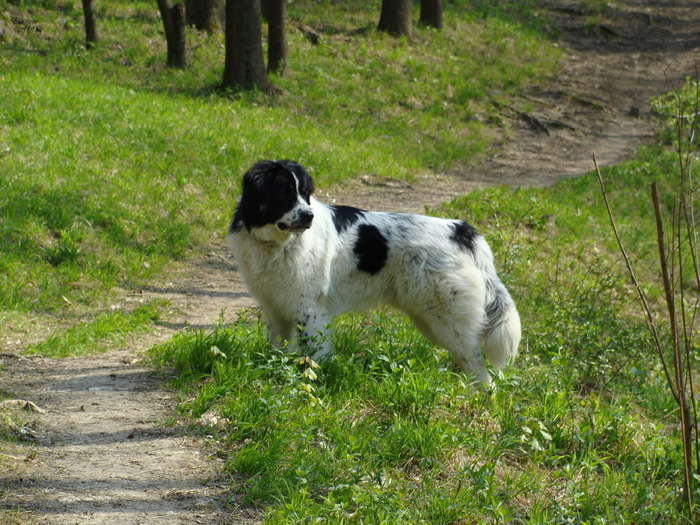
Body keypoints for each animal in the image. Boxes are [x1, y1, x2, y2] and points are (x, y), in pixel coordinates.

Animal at [227, 159, 524, 384]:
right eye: (283, 191)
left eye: (303, 192)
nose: (308, 216)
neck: (278, 244)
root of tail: (463, 231)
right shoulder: (275, 307)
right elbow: (276, 349)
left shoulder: (310, 310)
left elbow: (312, 354)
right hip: (432, 320)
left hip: (448, 321)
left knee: (479, 370)